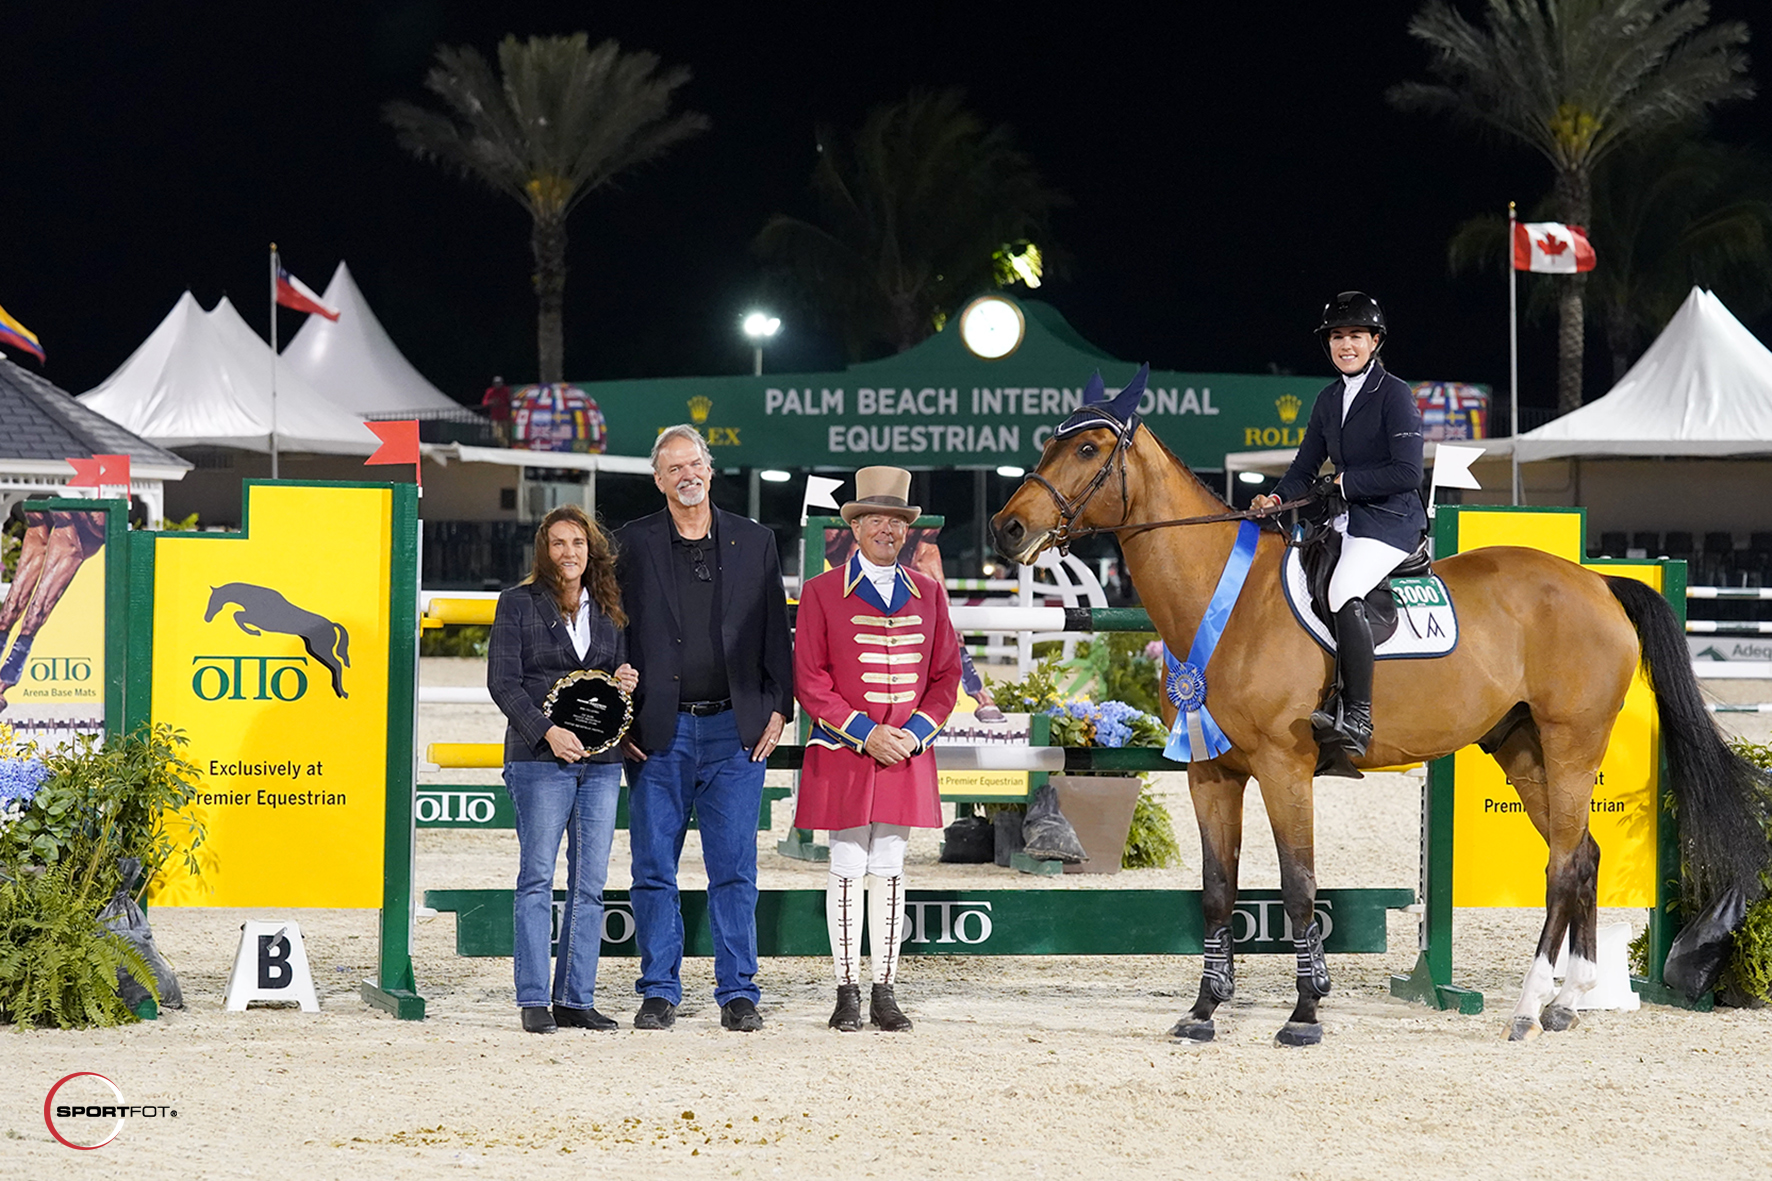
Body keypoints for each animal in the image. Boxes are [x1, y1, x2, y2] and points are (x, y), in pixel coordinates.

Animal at [992, 365, 1772, 1042]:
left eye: (1087, 447)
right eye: (1051, 441)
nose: (1007, 528)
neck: (1226, 597)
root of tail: (1598, 582)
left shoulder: (1283, 767)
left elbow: (1298, 887)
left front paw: (1305, 1013)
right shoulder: (1211, 771)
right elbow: (1218, 890)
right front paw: (1204, 1012)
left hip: (1572, 741)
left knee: (1561, 866)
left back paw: (1526, 1007)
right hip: (1522, 746)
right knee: (1580, 854)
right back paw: (1567, 1001)